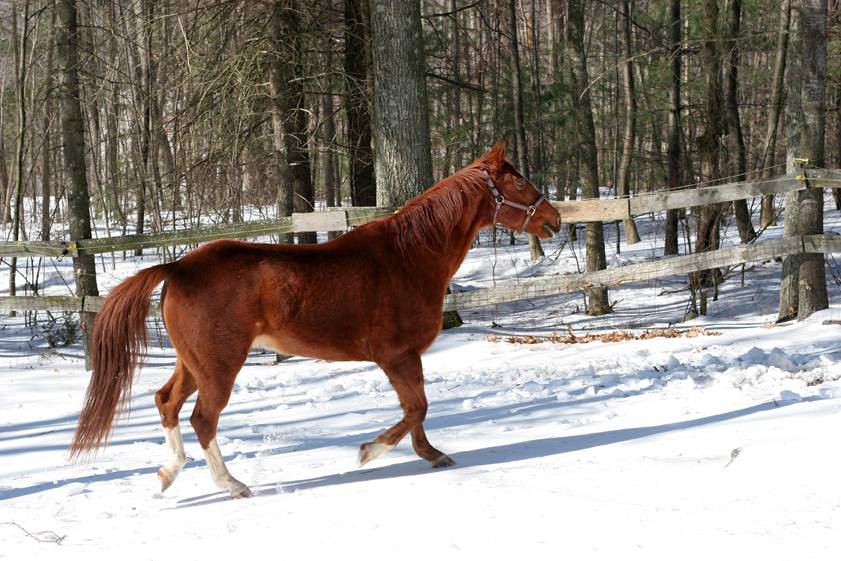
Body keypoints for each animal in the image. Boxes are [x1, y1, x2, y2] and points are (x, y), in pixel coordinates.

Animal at [69, 142, 556, 496]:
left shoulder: (405, 358)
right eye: (520, 180)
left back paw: (168, 474)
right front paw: (369, 452)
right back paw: (232, 484)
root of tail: (177, 267)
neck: (410, 257)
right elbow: (416, 406)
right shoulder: (397, 355)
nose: (554, 217)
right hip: (219, 365)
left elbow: (416, 409)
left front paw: (431, 454)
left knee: (166, 402)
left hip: (193, 362)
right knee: (202, 419)